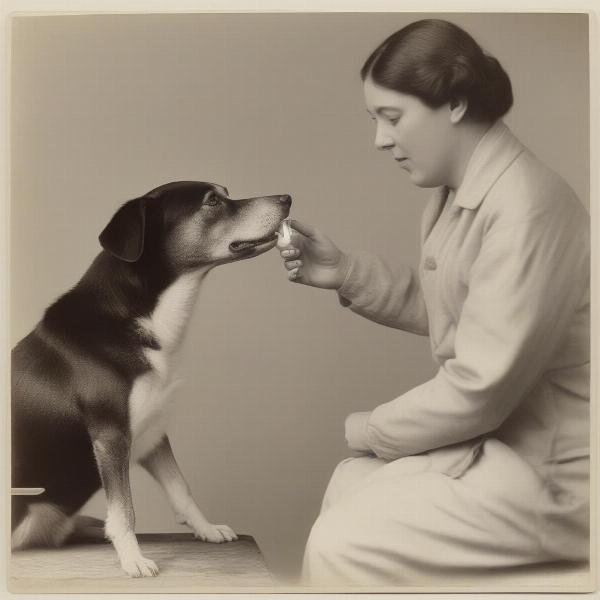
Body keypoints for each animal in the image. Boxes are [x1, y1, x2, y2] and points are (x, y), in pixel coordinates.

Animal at [9, 182, 290, 576]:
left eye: (225, 193)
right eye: (212, 202)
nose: (287, 199)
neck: (145, 316)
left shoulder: (153, 432)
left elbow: (180, 488)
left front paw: (206, 528)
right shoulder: (112, 436)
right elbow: (125, 510)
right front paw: (134, 559)